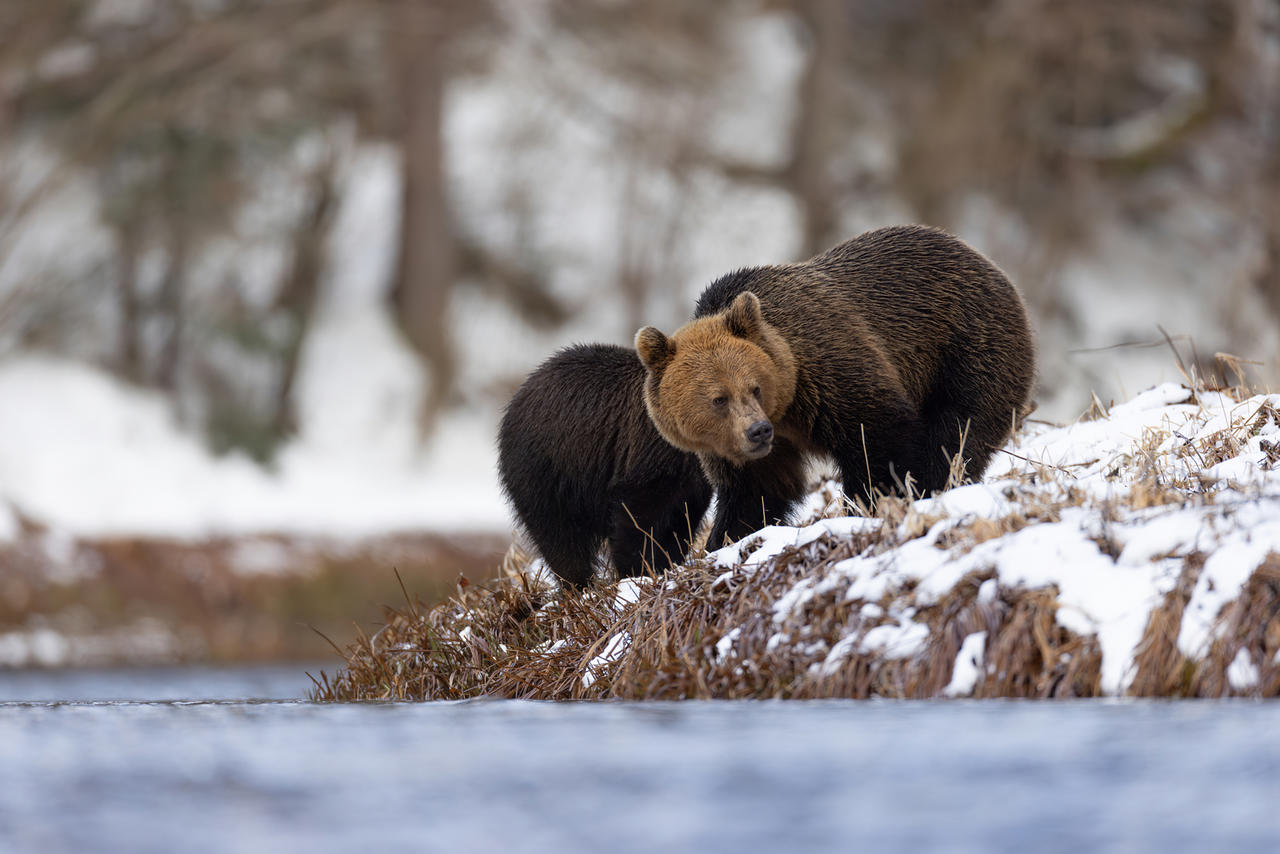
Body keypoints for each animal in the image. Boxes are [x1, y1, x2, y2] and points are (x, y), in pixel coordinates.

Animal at [496, 340, 711, 588]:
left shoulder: (691, 482)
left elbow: (678, 523)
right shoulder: (649, 457)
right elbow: (635, 518)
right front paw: (635, 572)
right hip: (548, 471)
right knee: (560, 538)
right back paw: (579, 584)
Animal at [634, 225, 1034, 547]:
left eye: (754, 387)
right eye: (718, 399)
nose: (758, 430)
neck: (786, 405)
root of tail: (992, 267)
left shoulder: (830, 371)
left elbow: (879, 438)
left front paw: (871, 502)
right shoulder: (737, 448)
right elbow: (756, 492)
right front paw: (724, 539)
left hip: (966, 348)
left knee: (956, 432)